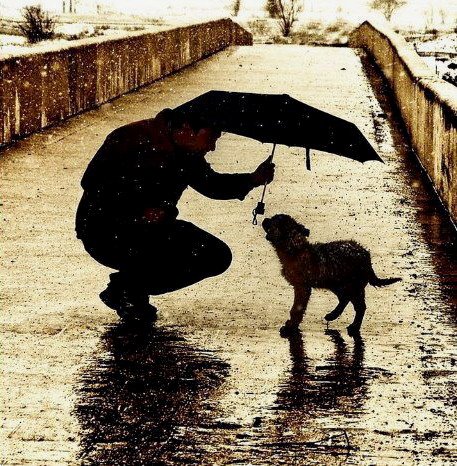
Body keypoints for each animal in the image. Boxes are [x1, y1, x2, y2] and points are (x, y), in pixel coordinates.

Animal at [262, 213, 400, 336]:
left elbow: (297, 308)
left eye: (273, 220)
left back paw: (354, 326)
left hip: (353, 286)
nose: (264, 219)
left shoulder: (302, 287)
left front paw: (290, 327)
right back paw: (332, 315)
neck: (295, 249)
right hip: (335, 282)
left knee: (360, 306)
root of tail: (366, 257)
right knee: (344, 299)